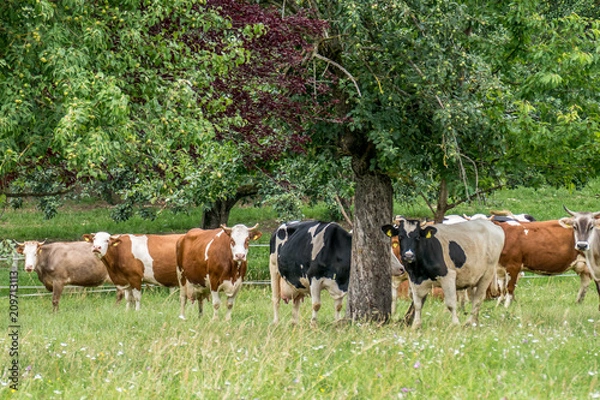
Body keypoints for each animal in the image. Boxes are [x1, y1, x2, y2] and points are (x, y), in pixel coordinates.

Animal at [270, 220, 404, 326]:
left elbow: (338, 306)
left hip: (297, 281)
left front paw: (337, 322)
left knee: (296, 302)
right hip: (273, 269)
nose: (402, 268)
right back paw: (276, 322)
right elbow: (316, 304)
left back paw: (294, 323)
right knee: (276, 299)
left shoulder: (340, 284)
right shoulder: (314, 278)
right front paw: (313, 323)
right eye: (386, 254)